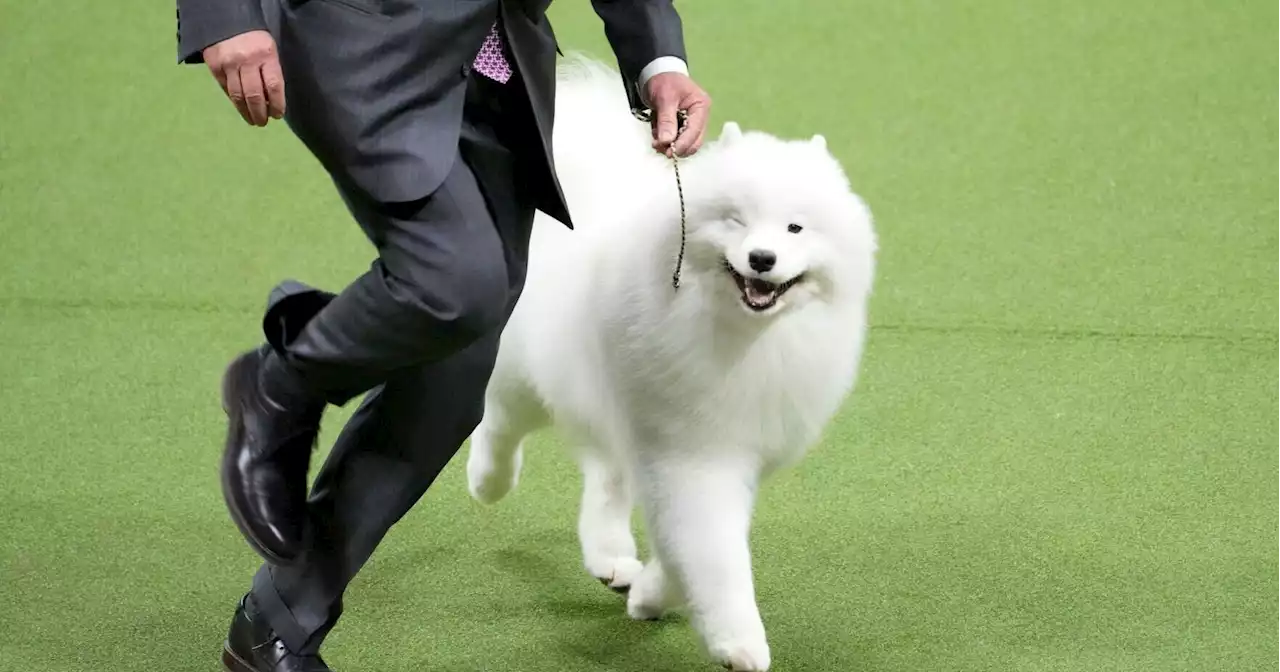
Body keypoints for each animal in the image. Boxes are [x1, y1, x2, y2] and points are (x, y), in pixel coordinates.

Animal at [465, 57, 875, 670]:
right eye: (735, 221)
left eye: (795, 228)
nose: (762, 258)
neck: (746, 336)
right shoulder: (692, 455)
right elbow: (709, 552)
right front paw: (738, 642)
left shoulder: (732, 448)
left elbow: (682, 550)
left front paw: (650, 596)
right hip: (535, 373)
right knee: (499, 417)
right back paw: (488, 481)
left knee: (606, 474)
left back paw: (610, 556)